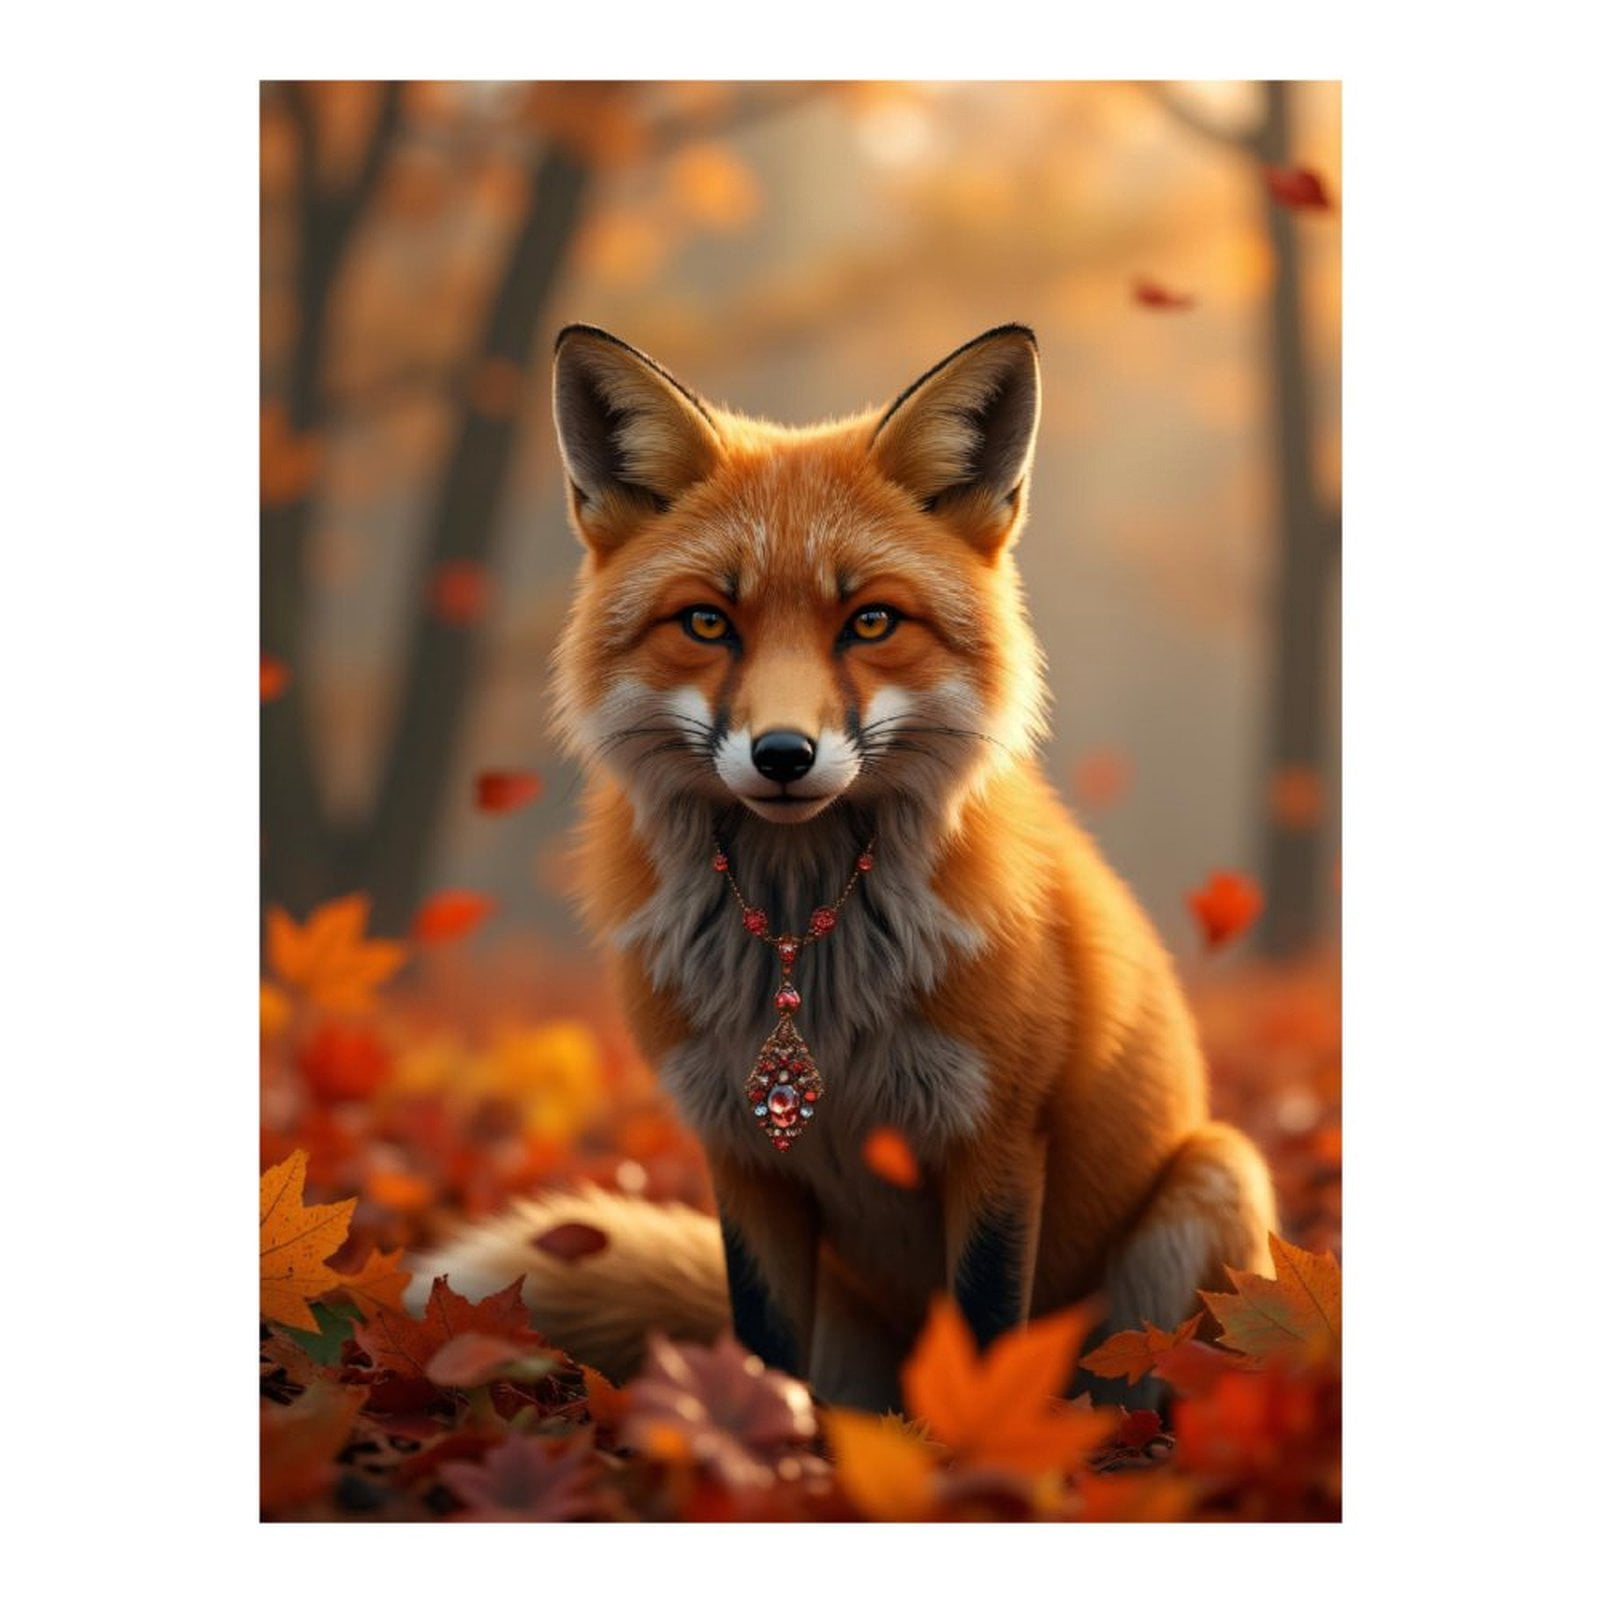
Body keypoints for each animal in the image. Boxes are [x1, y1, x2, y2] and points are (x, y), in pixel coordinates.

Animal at [414, 322, 1276, 1412]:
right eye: (708, 623)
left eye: (870, 622)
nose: (783, 754)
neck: (804, 959)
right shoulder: (742, 1150)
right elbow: (761, 1343)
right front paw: (755, 1437)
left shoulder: (994, 1137)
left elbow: (983, 1337)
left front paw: (968, 1446)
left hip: (1209, 1193)